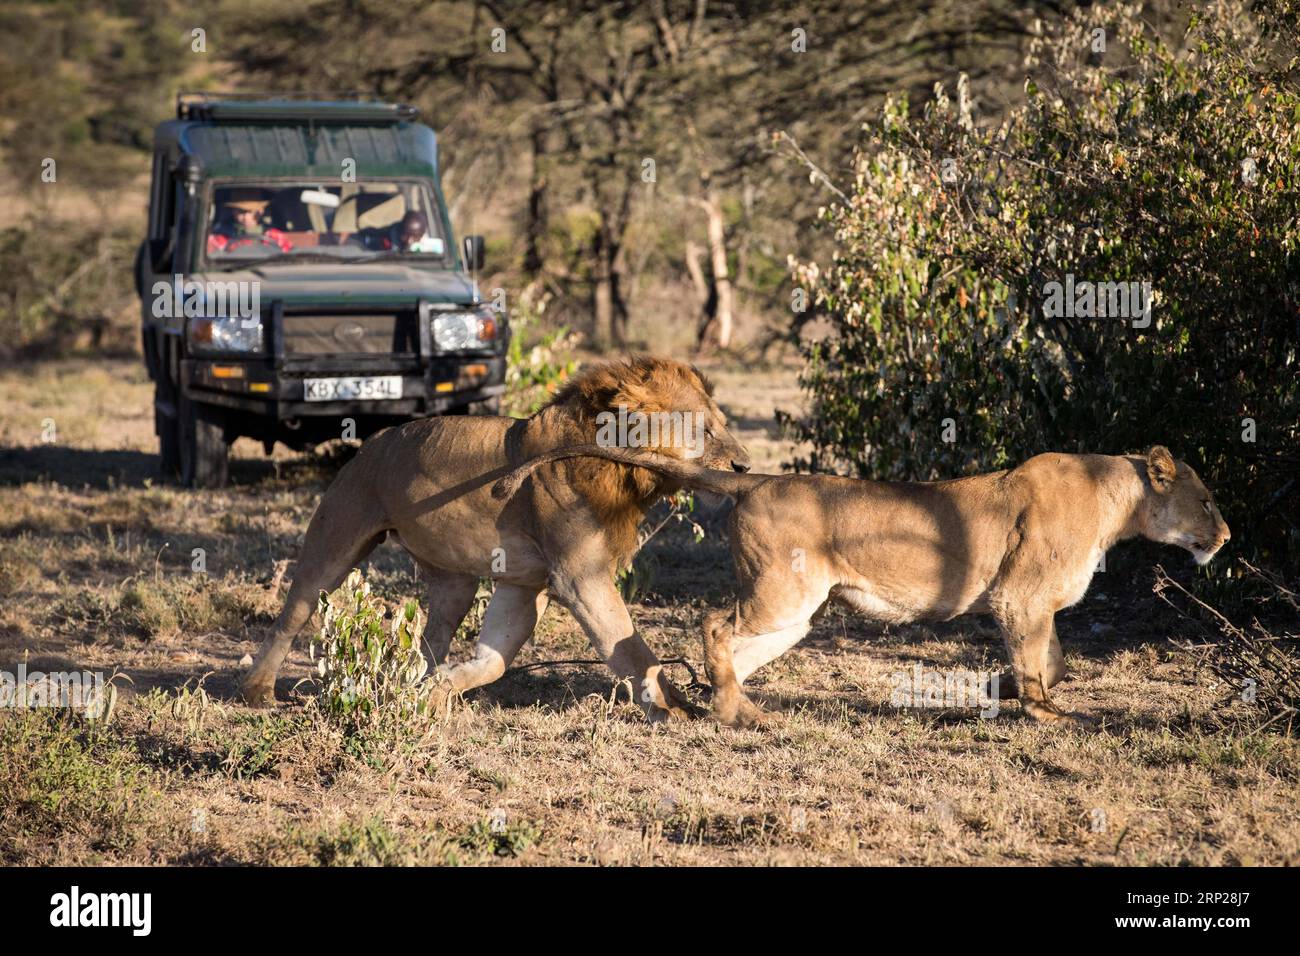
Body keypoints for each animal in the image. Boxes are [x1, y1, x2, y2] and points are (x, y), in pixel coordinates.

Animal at [241, 356, 754, 723]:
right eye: (705, 430)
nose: (746, 466)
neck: (619, 467)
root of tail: (372, 441)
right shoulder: (578, 577)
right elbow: (631, 647)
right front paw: (673, 709)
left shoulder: (525, 585)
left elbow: (495, 661)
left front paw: (439, 689)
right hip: (336, 542)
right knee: (292, 614)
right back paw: (258, 692)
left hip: (456, 583)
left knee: (432, 637)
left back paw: (413, 684)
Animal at [488, 444, 1227, 728]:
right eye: (1207, 499)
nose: (1224, 536)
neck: (1119, 501)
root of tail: (757, 479)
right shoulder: (1020, 595)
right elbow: (1042, 661)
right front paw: (1044, 713)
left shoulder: (1028, 604)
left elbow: (1052, 657)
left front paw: (1002, 689)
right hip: (782, 594)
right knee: (714, 623)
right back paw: (731, 711)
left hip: (797, 613)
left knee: (737, 649)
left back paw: (736, 706)